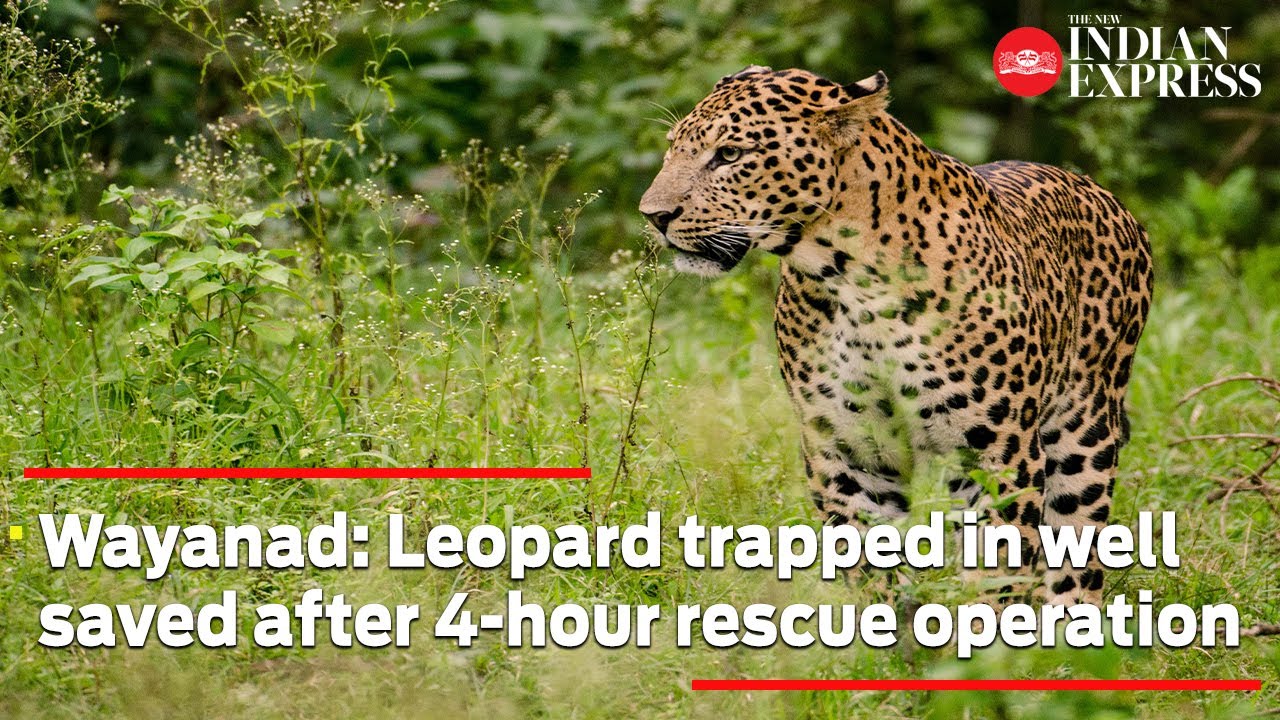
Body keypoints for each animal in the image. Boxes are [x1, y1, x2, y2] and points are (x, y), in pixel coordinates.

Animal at [639, 66, 1153, 606]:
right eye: (673, 147)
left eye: (731, 155)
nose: (653, 215)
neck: (849, 283)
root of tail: (1101, 192)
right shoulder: (847, 452)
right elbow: (870, 566)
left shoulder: (999, 453)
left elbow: (998, 573)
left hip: (1084, 435)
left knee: (1076, 559)